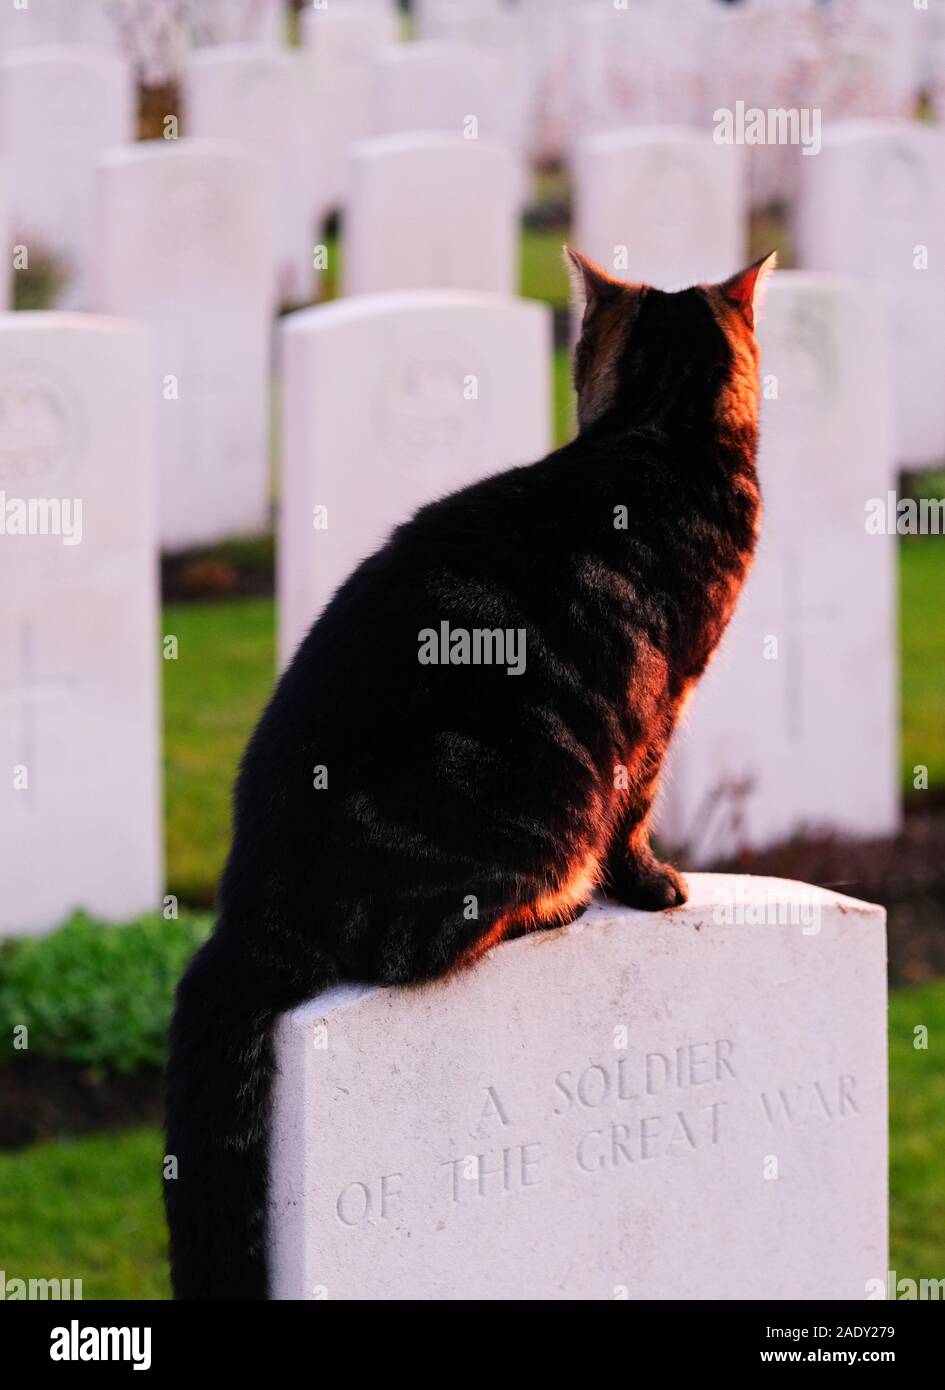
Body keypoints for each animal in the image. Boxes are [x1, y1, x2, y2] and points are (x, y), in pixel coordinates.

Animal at [166, 244, 778, 1295]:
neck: (659, 426)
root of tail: (250, 905)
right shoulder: (662, 703)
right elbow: (639, 813)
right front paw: (652, 886)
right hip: (527, 812)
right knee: (430, 943)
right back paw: (555, 904)